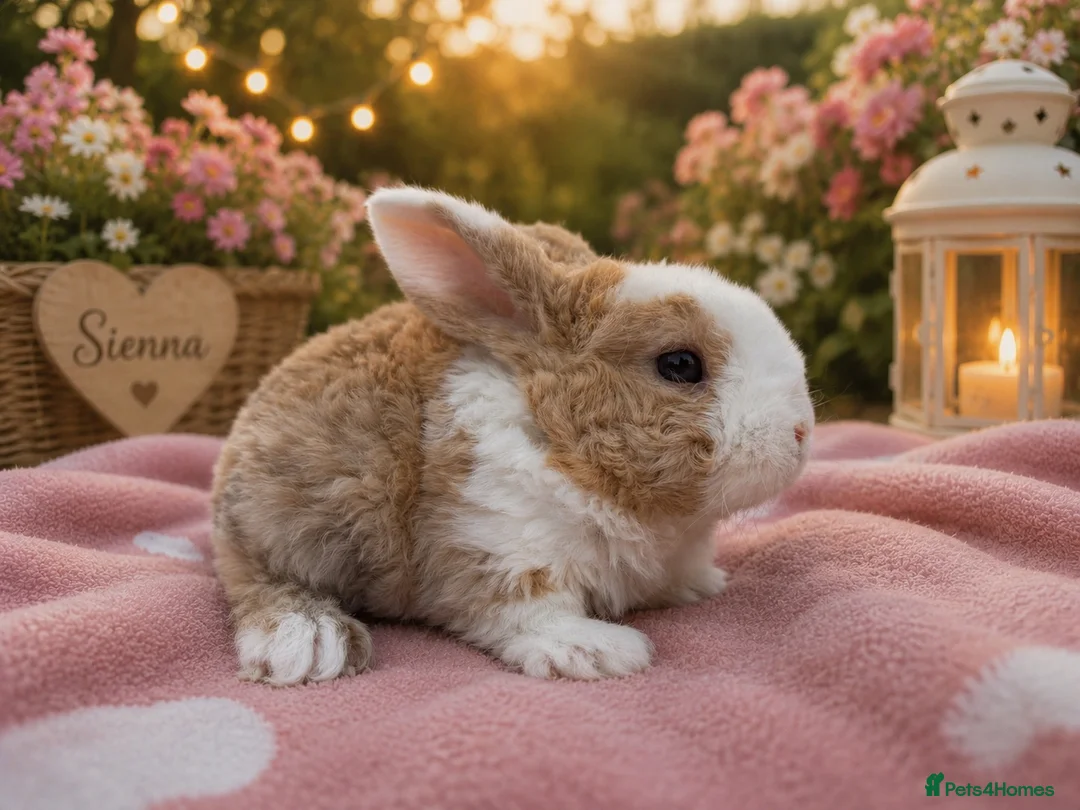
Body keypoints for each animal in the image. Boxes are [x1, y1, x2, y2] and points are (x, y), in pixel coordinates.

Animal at [210, 186, 814, 686]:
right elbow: (522, 609)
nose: (802, 431)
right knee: (256, 581)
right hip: (290, 528)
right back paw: (310, 643)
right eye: (680, 365)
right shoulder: (494, 537)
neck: (561, 443)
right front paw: (597, 653)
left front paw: (702, 584)